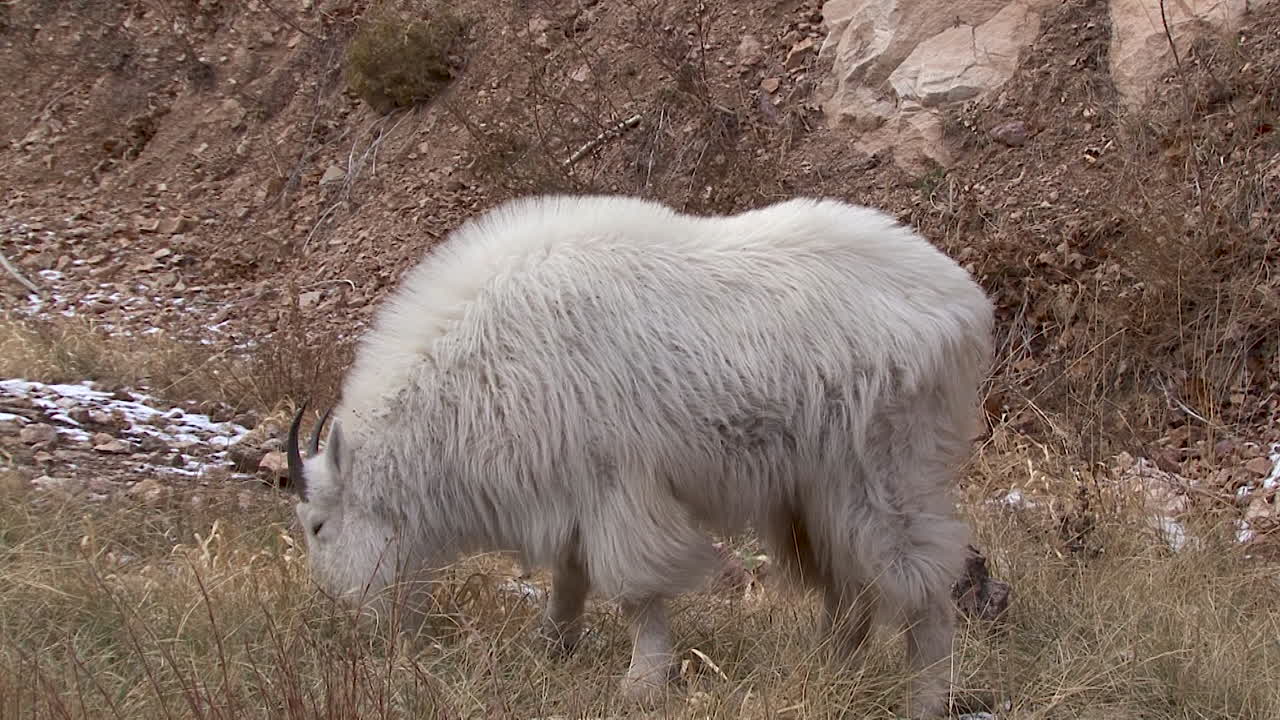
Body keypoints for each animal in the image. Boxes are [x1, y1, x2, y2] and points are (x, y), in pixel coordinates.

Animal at [285, 194, 994, 718]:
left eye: (318, 525)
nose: (343, 623)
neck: (473, 375)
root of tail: (967, 304)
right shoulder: (573, 494)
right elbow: (570, 576)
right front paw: (553, 645)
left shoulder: (616, 487)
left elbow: (635, 589)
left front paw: (643, 682)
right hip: (813, 493)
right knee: (848, 587)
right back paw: (826, 675)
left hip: (888, 471)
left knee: (924, 583)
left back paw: (927, 698)